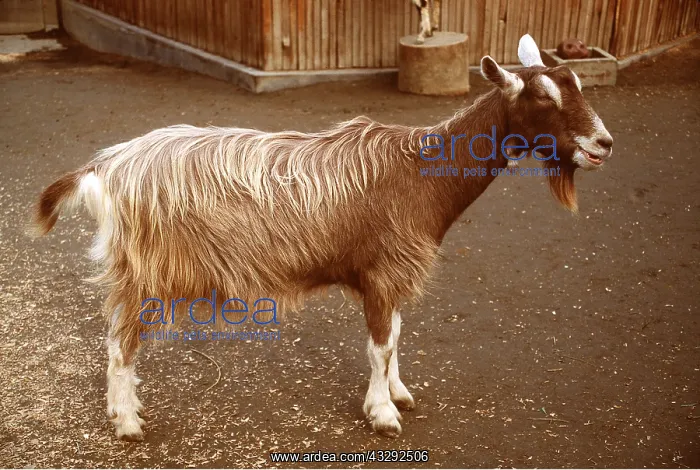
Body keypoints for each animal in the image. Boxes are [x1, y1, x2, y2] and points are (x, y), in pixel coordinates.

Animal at [32, 34, 612, 441]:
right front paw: (382, 414)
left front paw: (398, 393)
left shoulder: (387, 277)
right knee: (120, 343)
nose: (603, 143)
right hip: (148, 269)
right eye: (543, 97)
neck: (421, 173)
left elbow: (395, 335)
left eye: (578, 87)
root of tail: (106, 166)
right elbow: (379, 345)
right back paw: (127, 421)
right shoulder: (383, 271)